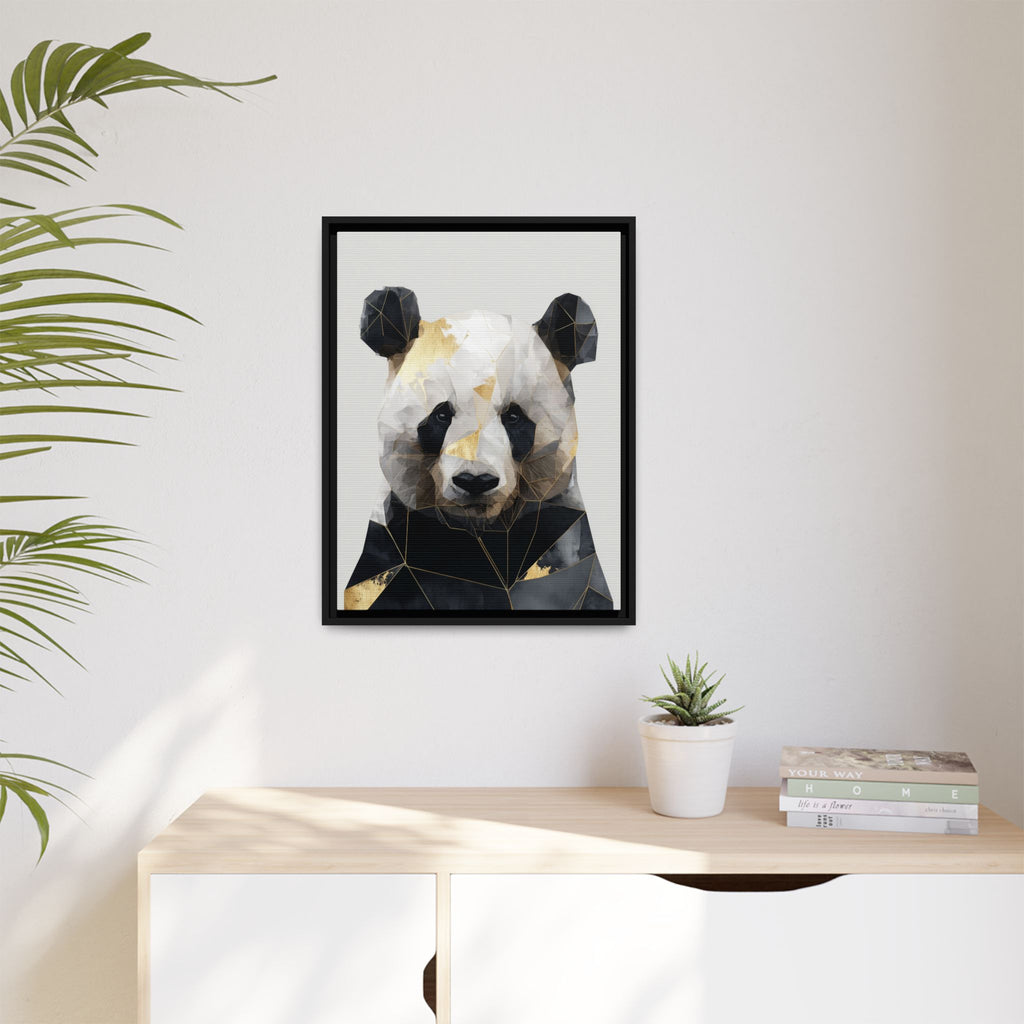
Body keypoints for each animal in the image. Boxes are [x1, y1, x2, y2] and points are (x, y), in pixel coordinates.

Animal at [344, 286, 613, 612]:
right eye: (441, 415)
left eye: (513, 416)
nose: (475, 481)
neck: (481, 535)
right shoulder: (392, 552)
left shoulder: (561, 544)